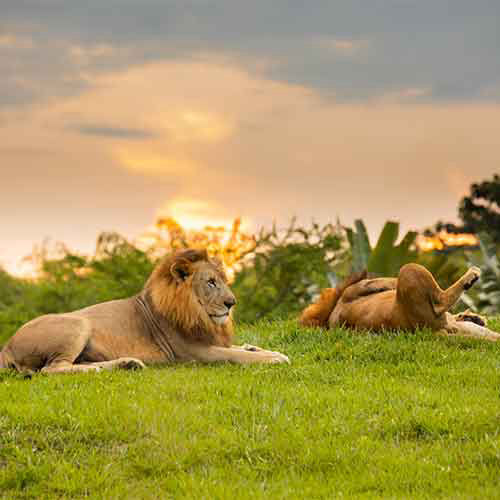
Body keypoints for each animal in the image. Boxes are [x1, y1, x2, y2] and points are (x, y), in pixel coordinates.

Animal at [0, 248, 290, 374]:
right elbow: (237, 355)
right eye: (210, 282)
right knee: (52, 369)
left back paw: (128, 364)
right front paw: (275, 358)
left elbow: (243, 348)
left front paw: (266, 350)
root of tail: (6, 347)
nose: (232, 303)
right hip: (78, 324)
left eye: (224, 281)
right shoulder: (196, 352)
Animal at [298, 264, 500, 342]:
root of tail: (435, 331)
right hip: (410, 270)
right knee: (440, 302)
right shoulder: (357, 287)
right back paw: (471, 275)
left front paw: (474, 317)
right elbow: (386, 282)